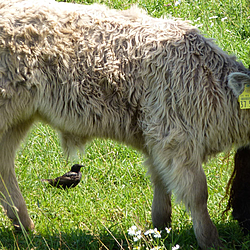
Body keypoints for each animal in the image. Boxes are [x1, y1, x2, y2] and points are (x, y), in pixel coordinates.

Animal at [0, 0, 250, 249]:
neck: (211, 80)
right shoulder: (177, 142)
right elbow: (198, 194)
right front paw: (211, 240)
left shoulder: (157, 143)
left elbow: (161, 182)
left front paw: (161, 228)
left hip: (17, 121)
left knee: (4, 168)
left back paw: (23, 225)